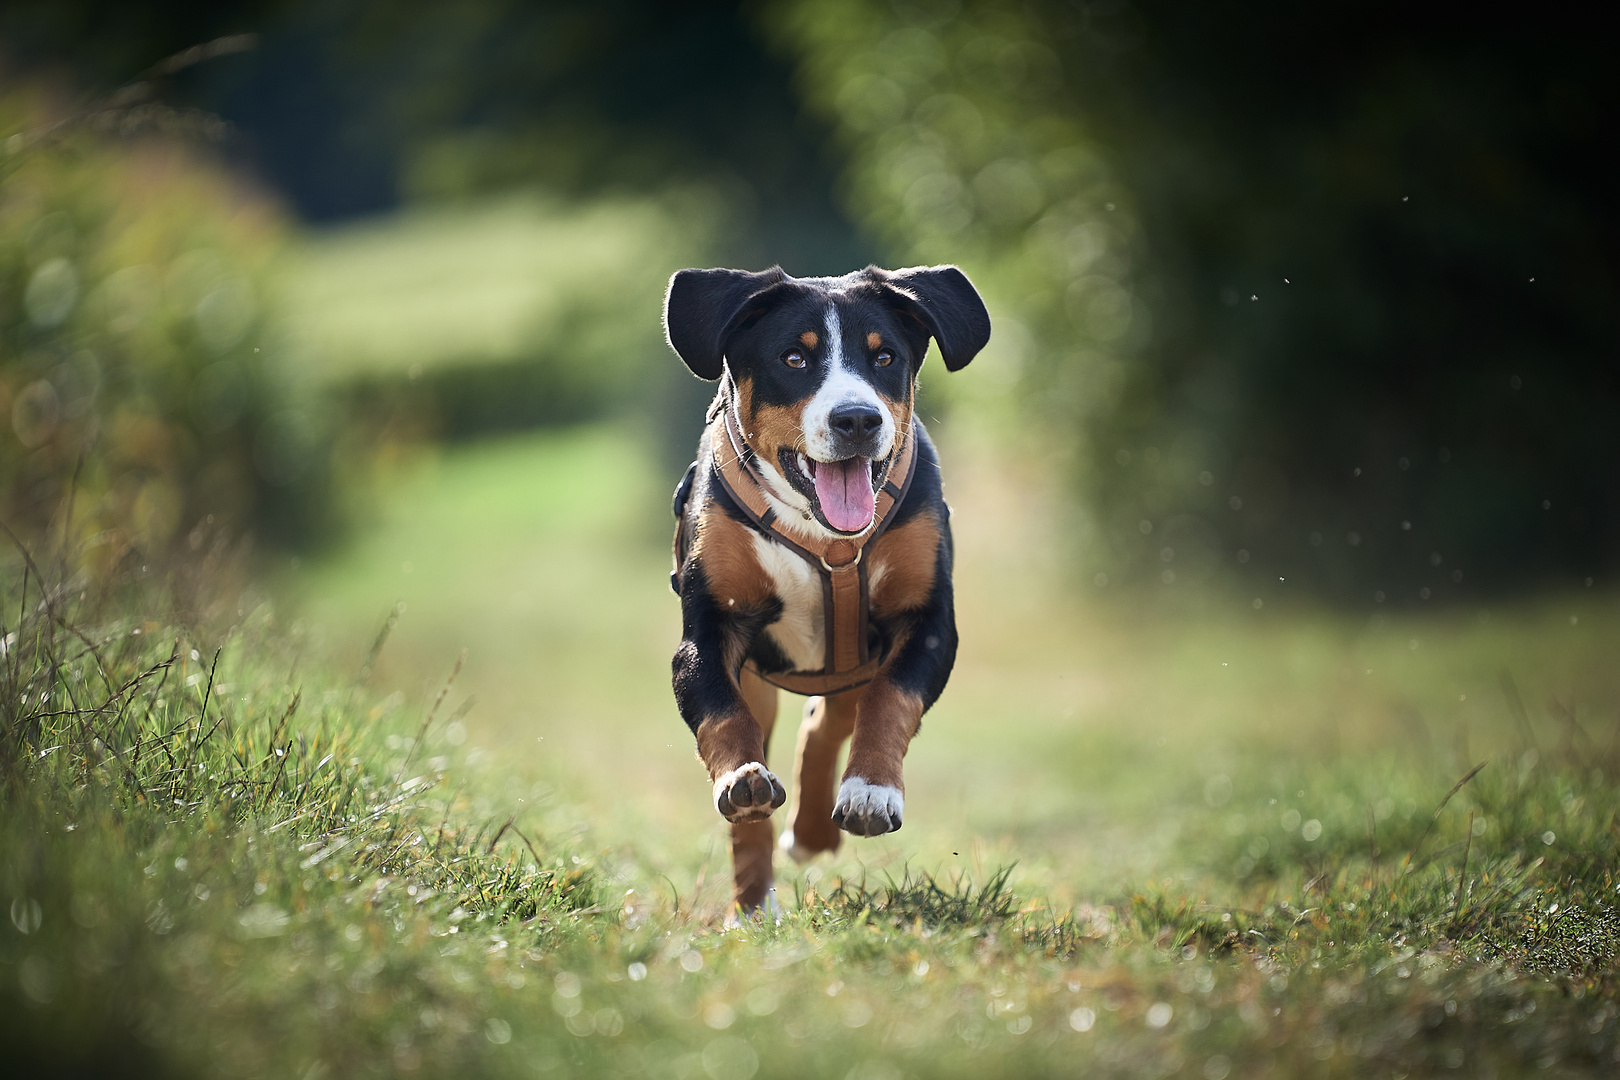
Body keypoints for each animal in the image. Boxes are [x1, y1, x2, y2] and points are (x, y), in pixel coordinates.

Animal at [657, 262, 984, 913]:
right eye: (794, 358)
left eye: (884, 357)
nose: (857, 418)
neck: (823, 536)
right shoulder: (710, 630)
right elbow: (723, 717)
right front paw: (740, 778)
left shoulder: (926, 622)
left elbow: (890, 701)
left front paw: (871, 791)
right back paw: (753, 904)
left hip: (851, 656)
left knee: (828, 721)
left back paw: (812, 830)